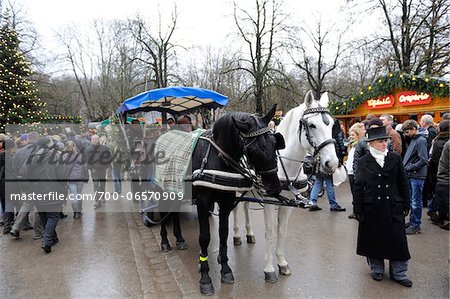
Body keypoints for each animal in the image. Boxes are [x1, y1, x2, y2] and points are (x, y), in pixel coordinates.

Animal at [192, 106, 284, 296]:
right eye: (251, 150)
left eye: (274, 142)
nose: (275, 187)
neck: (218, 157)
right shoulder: (203, 202)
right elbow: (204, 237)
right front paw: (205, 277)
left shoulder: (226, 201)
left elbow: (223, 233)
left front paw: (225, 268)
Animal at [234, 90, 336, 282]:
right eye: (312, 125)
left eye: (332, 124)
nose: (332, 163)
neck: (285, 166)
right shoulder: (269, 201)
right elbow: (270, 232)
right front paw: (269, 269)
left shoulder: (288, 203)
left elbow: (282, 231)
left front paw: (282, 263)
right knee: (235, 209)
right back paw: (236, 235)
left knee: (244, 207)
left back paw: (249, 234)